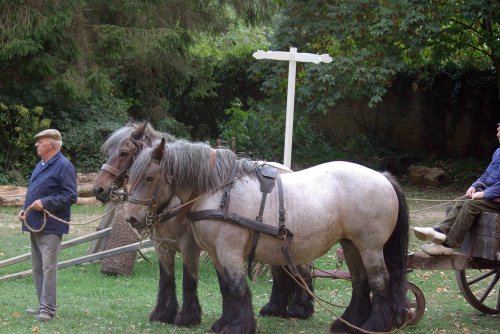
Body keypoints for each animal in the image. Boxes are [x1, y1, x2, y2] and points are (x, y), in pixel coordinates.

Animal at [92, 120, 314, 326]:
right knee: (281, 271)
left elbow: (188, 279)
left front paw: (187, 317)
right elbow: (166, 278)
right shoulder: (162, 245)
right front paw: (163, 314)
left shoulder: (190, 245)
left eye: (124, 153)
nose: (98, 189)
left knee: (301, 270)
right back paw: (276, 307)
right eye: (108, 152)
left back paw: (300, 308)